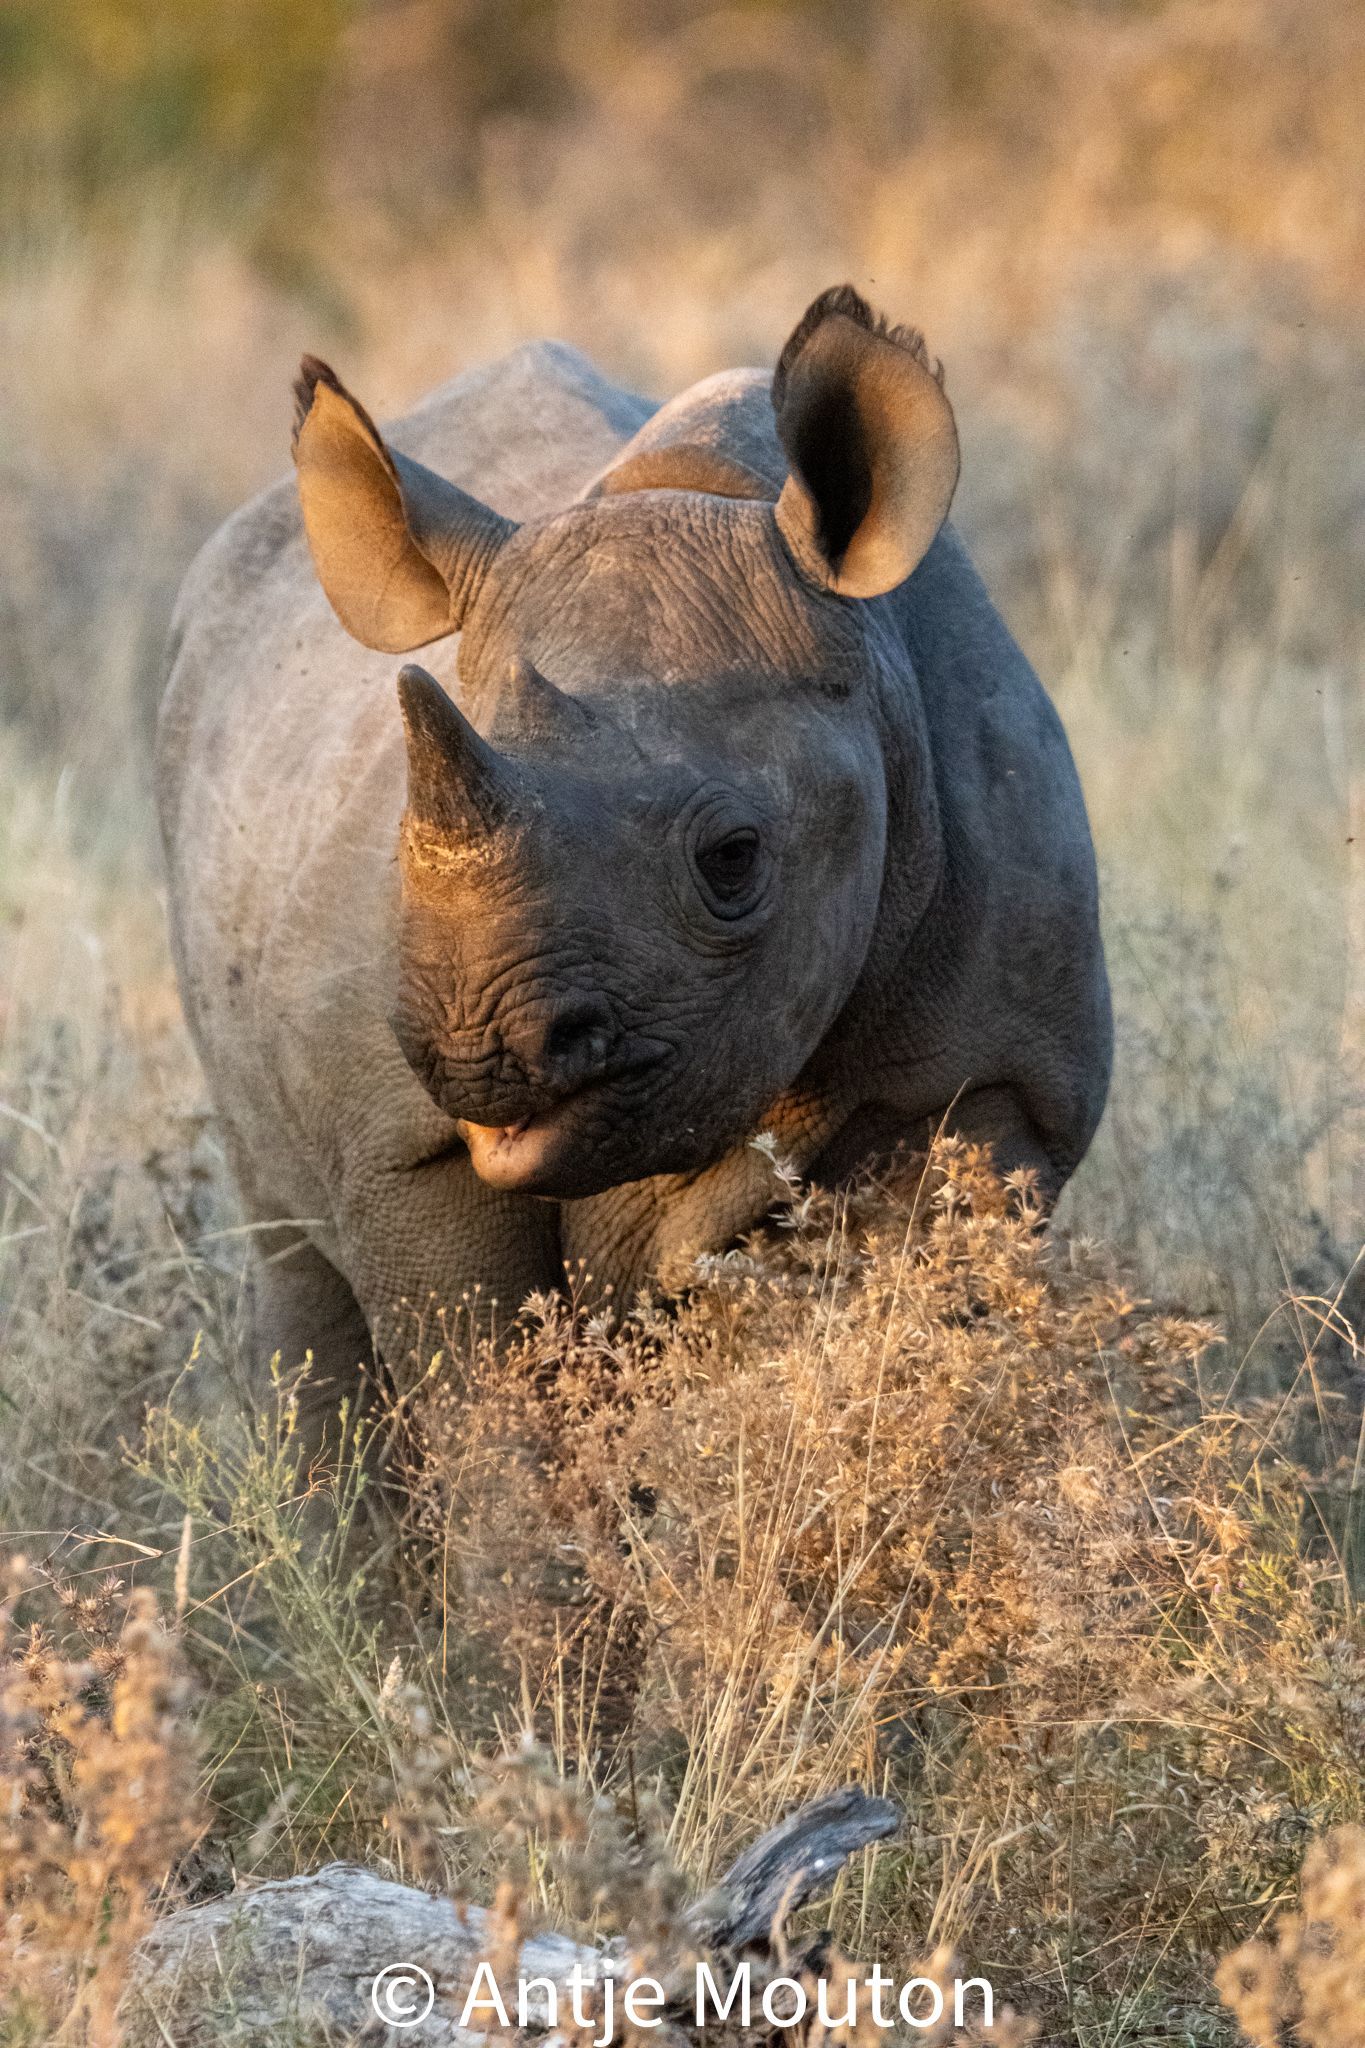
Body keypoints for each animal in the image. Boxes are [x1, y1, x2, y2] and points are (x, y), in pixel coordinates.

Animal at [158, 286, 1111, 1408]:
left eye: (733, 857)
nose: (483, 1053)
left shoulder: (1000, 1079)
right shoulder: (406, 1151)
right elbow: (480, 1382)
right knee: (290, 1248)